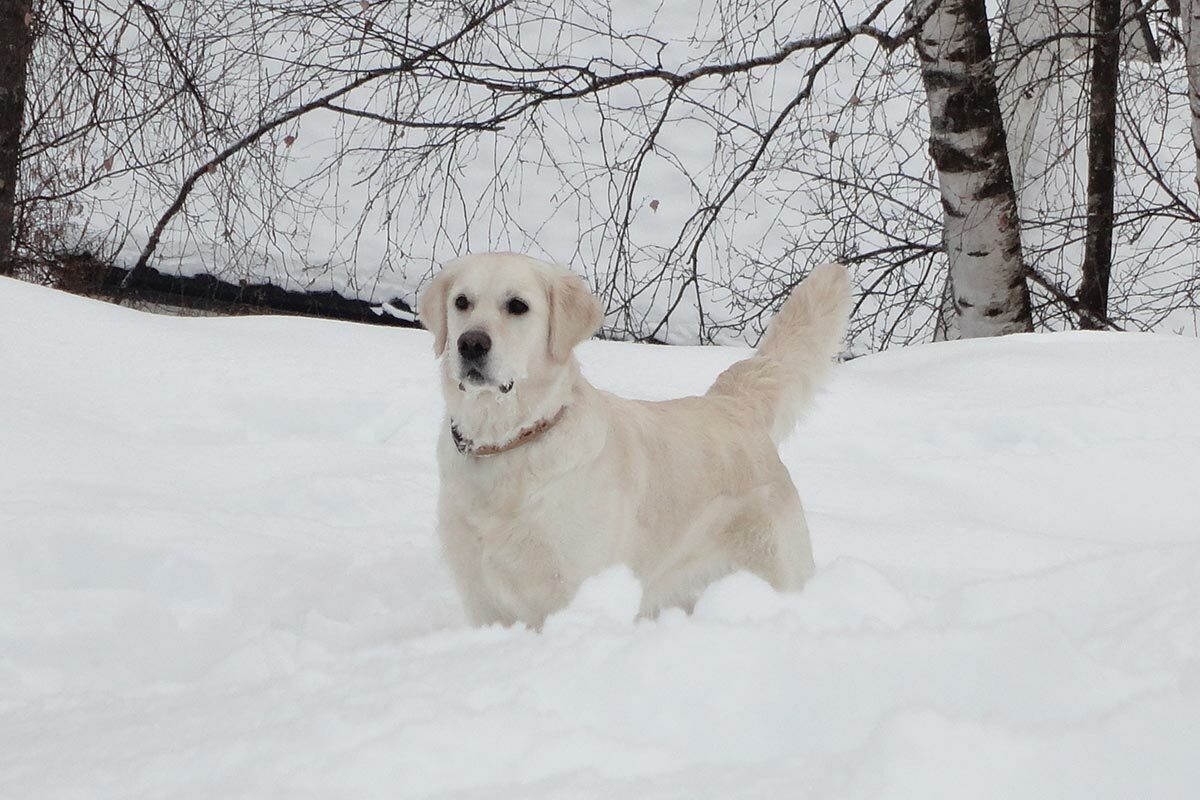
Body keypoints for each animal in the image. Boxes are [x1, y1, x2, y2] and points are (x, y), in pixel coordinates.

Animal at [422, 250, 854, 623]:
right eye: (462, 302)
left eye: (517, 306)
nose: (470, 343)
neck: (506, 440)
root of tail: (733, 403)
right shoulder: (482, 598)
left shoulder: (571, 588)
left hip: (781, 569)